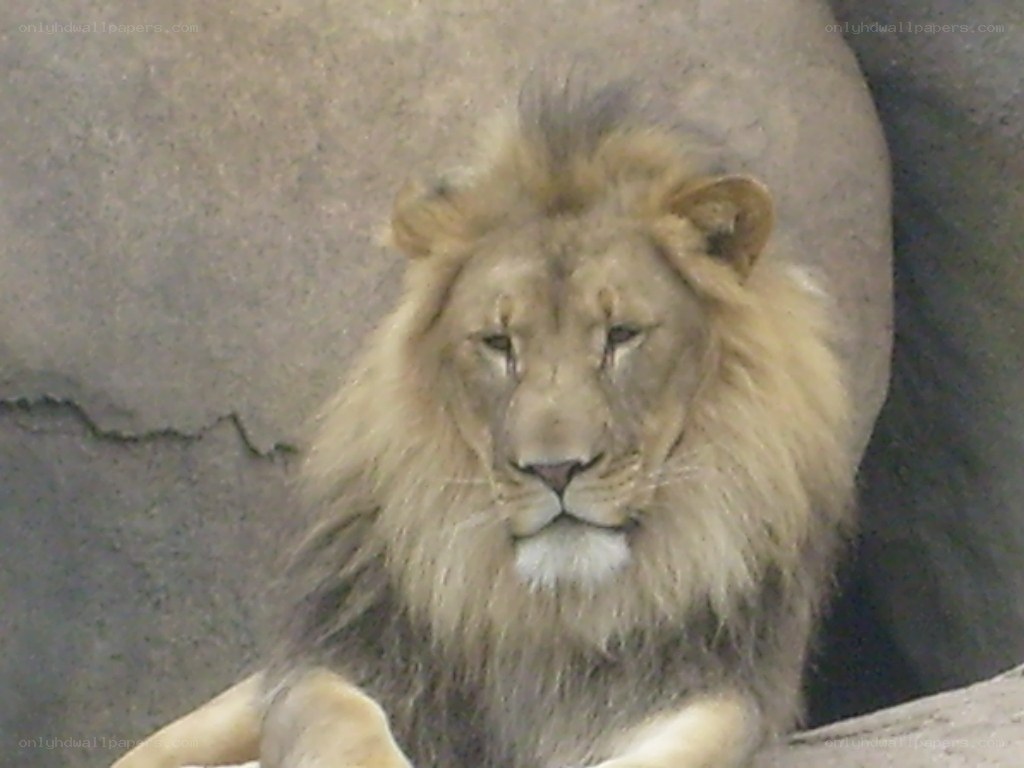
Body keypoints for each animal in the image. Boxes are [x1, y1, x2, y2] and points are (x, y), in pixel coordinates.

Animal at [112, 83, 856, 768]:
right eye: (499, 343)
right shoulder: (331, 662)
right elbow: (341, 719)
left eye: (620, 335)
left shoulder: (721, 691)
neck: (549, 616)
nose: (555, 470)